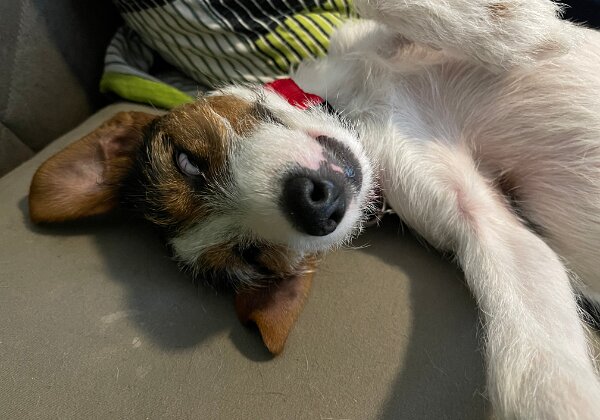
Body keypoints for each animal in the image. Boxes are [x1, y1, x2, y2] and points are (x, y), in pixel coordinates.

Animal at [29, 0, 600, 418]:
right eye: (254, 256)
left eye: (188, 162)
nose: (314, 206)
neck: (354, 106)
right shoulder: (483, 223)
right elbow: (537, 375)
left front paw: (512, 25)